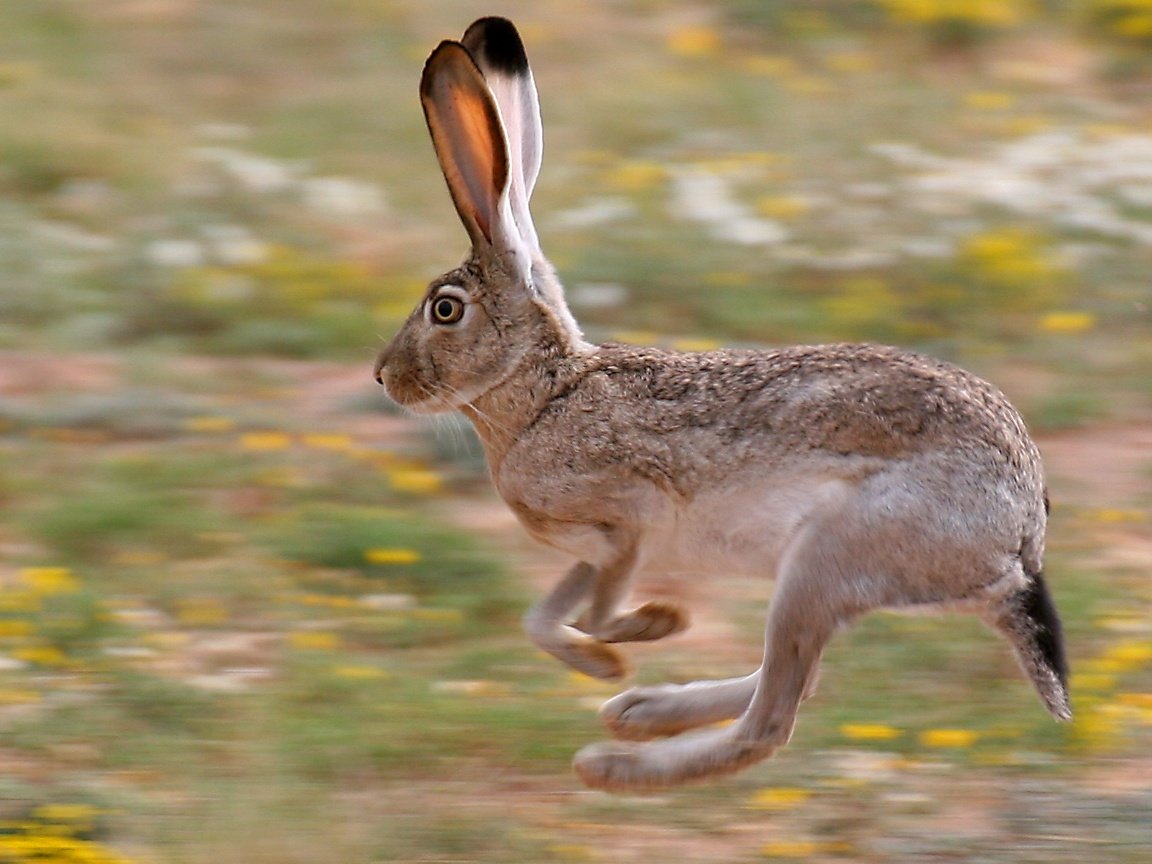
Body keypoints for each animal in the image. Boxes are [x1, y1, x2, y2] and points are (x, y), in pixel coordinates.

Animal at [373, 17, 1071, 791]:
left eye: (445, 309)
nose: (382, 377)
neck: (546, 393)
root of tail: (1019, 540)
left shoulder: (630, 518)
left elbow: (599, 605)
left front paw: (649, 629)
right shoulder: (590, 548)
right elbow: (544, 617)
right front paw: (608, 660)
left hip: (824, 560)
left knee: (773, 719)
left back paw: (616, 763)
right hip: (825, 576)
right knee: (796, 680)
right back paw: (639, 709)